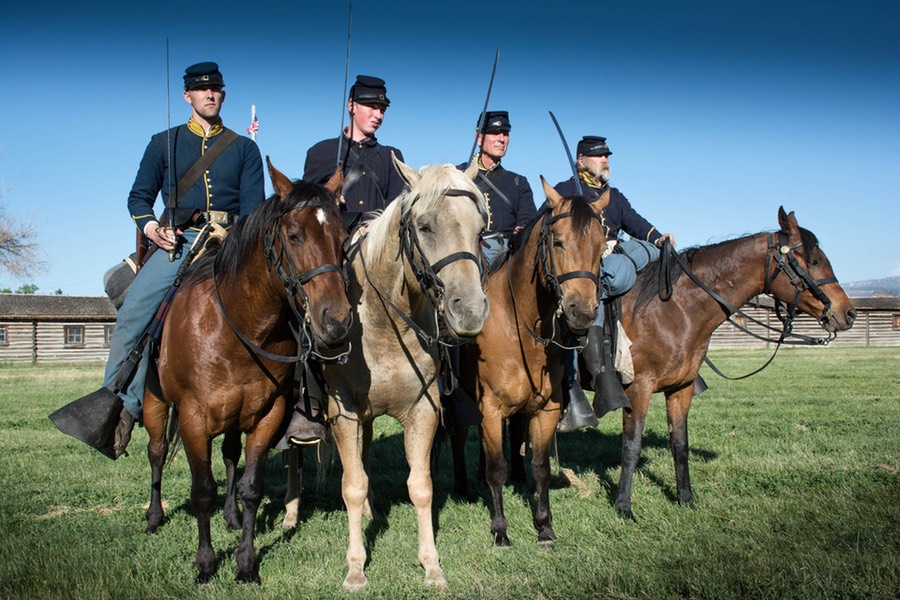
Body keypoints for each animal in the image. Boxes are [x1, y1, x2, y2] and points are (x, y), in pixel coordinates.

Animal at [142, 159, 350, 580]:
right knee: (156, 451)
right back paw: (154, 516)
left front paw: (246, 562)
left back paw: (232, 516)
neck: (237, 326)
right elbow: (202, 490)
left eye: (342, 236)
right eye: (294, 235)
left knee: (229, 455)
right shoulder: (192, 418)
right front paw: (206, 564)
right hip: (154, 402)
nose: (336, 322)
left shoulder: (266, 416)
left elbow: (251, 487)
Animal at [324, 156, 488, 592]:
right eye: (425, 226)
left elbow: (421, 486)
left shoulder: (423, 412)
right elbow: (353, 484)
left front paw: (431, 564)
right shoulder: (345, 414)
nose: (470, 311)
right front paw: (355, 568)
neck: (383, 324)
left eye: (480, 229)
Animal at [458, 180, 612, 548]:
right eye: (558, 241)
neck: (520, 327)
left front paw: (544, 526)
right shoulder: (489, 408)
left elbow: (540, 465)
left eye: (601, 246)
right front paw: (500, 530)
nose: (582, 313)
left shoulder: (546, 410)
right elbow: (495, 468)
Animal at [608, 209, 856, 516]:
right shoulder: (638, 388)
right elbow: (631, 447)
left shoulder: (681, 388)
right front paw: (623, 506)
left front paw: (686, 498)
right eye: (813, 261)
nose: (848, 313)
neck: (673, 309)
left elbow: (680, 444)